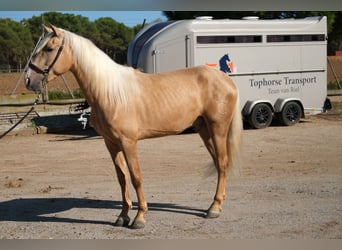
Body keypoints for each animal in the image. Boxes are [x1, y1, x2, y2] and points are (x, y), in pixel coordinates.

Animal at [24, 24, 243, 229]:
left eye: (49, 48)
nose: (28, 79)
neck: (109, 91)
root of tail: (226, 79)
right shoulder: (111, 143)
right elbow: (122, 178)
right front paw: (123, 216)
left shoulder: (128, 142)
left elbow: (136, 176)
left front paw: (139, 217)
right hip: (203, 129)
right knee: (218, 163)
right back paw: (216, 204)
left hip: (218, 128)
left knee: (222, 162)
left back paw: (214, 208)